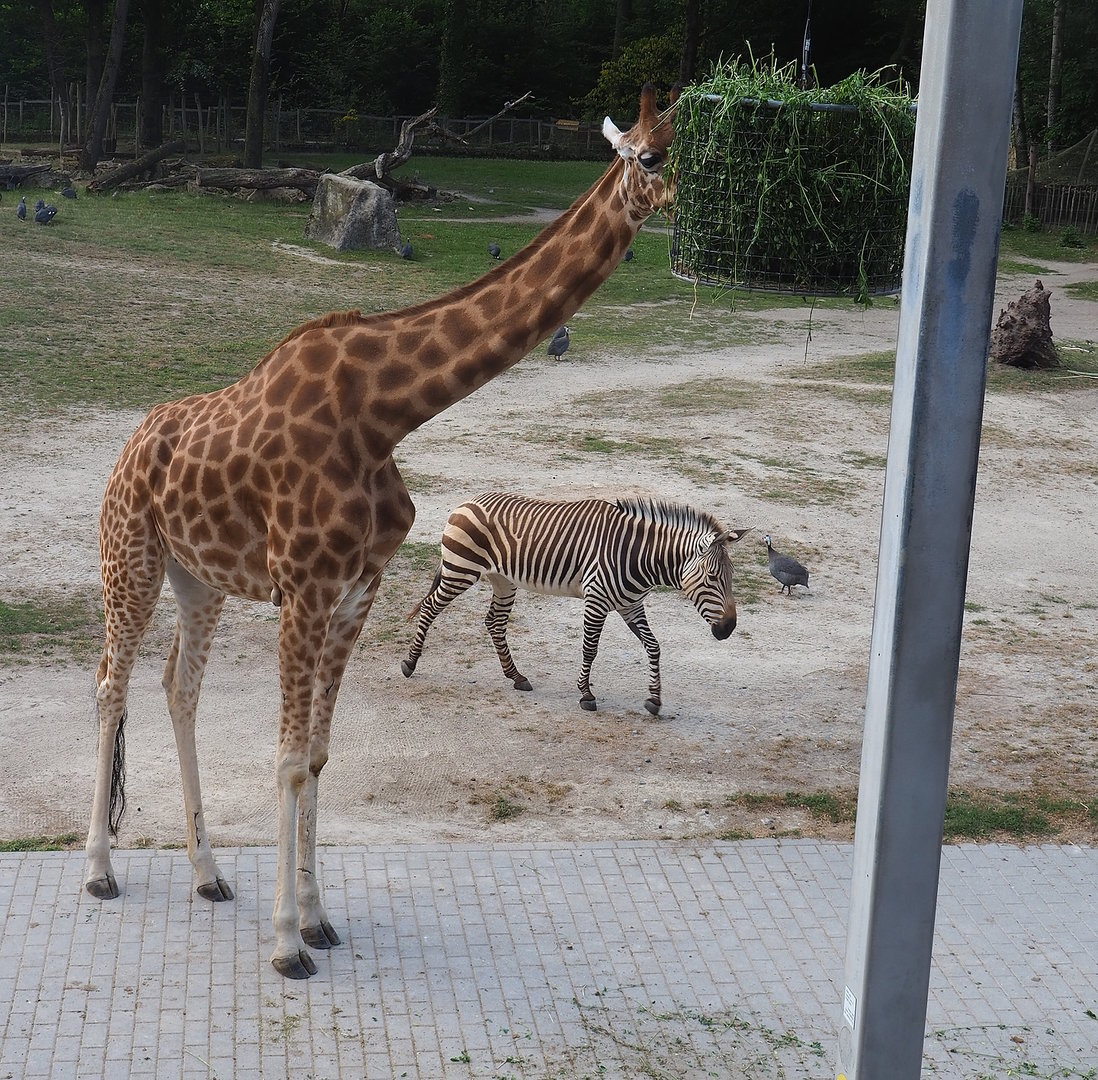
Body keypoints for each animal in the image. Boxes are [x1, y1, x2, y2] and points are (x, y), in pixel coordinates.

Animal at [84, 85, 678, 980]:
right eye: (647, 154)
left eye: (682, 143)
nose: (675, 202)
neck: (385, 413)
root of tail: (129, 447)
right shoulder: (303, 589)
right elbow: (289, 757)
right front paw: (287, 944)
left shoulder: (356, 591)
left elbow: (318, 756)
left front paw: (319, 920)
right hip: (131, 558)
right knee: (111, 688)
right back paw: (99, 871)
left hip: (201, 579)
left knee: (177, 691)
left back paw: (208, 873)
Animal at [400, 492, 749, 714]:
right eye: (711, 578)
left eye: (731, 578)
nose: (729, 628)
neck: (638, 557)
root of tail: (466, 502)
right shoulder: (596, 600)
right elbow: (590, 649)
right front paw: (586, 694)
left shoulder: (630, 604)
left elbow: (654, 646)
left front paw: (654, 699)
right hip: (460, 570)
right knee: (430, 608)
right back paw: (410, 663)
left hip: (502, 580)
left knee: (494, 623)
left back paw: (516, 677)